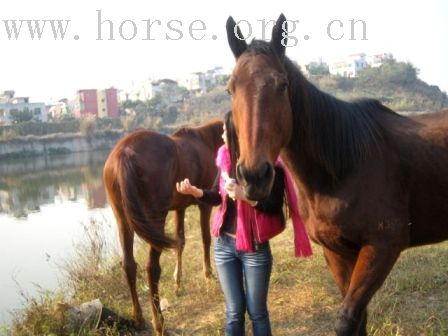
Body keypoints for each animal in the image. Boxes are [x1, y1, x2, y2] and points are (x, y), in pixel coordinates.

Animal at [104, 118, 224, 334]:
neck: (206, 141)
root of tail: (125, 152)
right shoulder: (204, 204)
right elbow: (205, 239)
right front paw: (208, 276)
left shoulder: (179, 208)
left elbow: (181, 241)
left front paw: (178, 284)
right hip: (155, 219)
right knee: (152, 269)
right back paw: (159, 324)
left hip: (122, 220)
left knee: (129, 265)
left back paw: (139, 318)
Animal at [226, 13, 448, 336]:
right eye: (230, 88)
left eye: (282, 85)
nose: (254, 176)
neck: (342, 168)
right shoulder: (337, 252)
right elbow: (359, 318)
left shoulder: (382, 247)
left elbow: (347, 319)